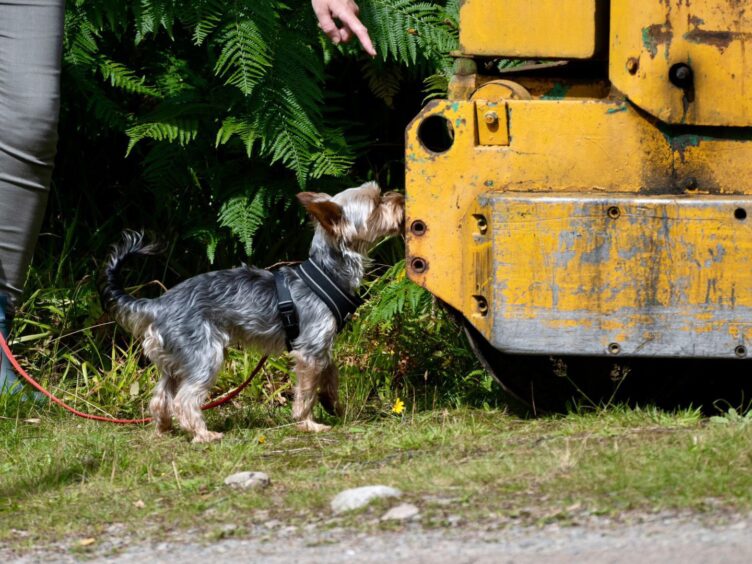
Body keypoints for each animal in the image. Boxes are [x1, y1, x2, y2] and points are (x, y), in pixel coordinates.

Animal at [103, 183, 406, 442]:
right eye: (377, 203)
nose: (401, 198)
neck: (328, 272)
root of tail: (158, 305)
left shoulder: (322, 346)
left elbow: (330, 376)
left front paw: (335, 407)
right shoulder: (309, 350)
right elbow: (307, 392)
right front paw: (308, 423)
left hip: (174, 358)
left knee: (161, 397)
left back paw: (164, 430)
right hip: (204, 353)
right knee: (185, 399)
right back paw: (203, 435)